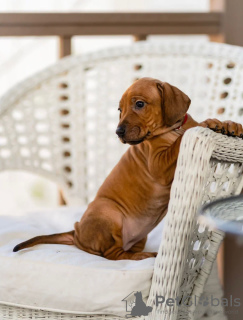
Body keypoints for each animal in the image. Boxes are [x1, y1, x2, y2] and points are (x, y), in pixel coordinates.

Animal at [13, 77, 243, 260]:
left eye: (139, 104)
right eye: (119, 110)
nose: (118, 132)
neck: (174, 128)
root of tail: (76, 233)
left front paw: (227, 124)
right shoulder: (159, 164)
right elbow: (180, 142)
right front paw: (206, 124)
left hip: (139, 235)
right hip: (108, 212)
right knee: (112, 255)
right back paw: (141, 256)